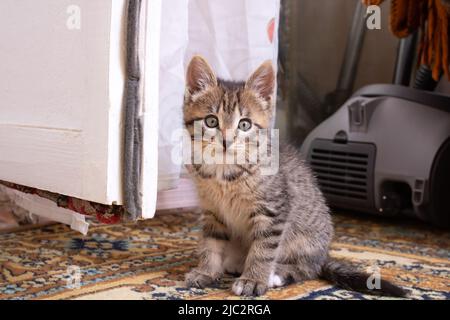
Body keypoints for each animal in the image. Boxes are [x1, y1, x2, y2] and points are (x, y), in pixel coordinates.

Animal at [181, 55, 406, 298]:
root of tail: (323, 253)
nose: (226, 141)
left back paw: (275, 275)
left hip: (304, 241)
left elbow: (264, 248)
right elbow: (210, 243)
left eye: (244, 124)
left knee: (308, 268)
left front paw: (253, 279)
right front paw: (207, 272)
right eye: (211, 121)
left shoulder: (273, 211)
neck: (225, 172)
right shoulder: (212, 211)